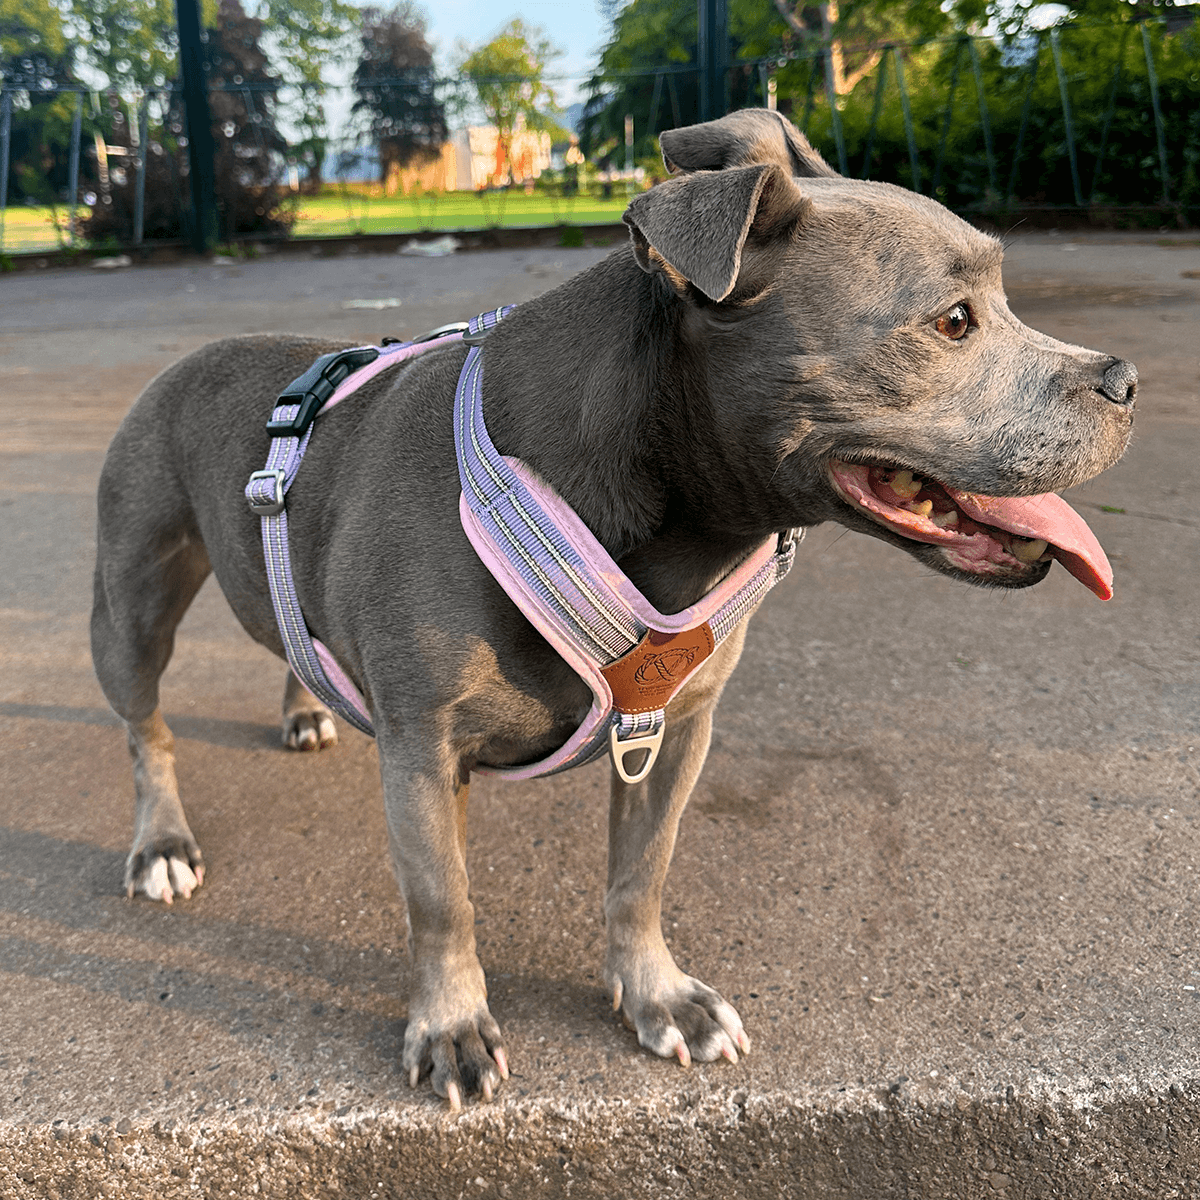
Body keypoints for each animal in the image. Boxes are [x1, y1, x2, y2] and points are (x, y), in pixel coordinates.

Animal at [91, 110, 1132, 1104]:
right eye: (955, 320)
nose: (1125, 380)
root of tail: (190, 358)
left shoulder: (674, 730)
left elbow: (641, 875)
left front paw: (656, 996)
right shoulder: (425, 749)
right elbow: (443, 900)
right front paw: (451, 1026)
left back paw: (307, 708)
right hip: (131, 610)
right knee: (148, 734)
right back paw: (161, 844)